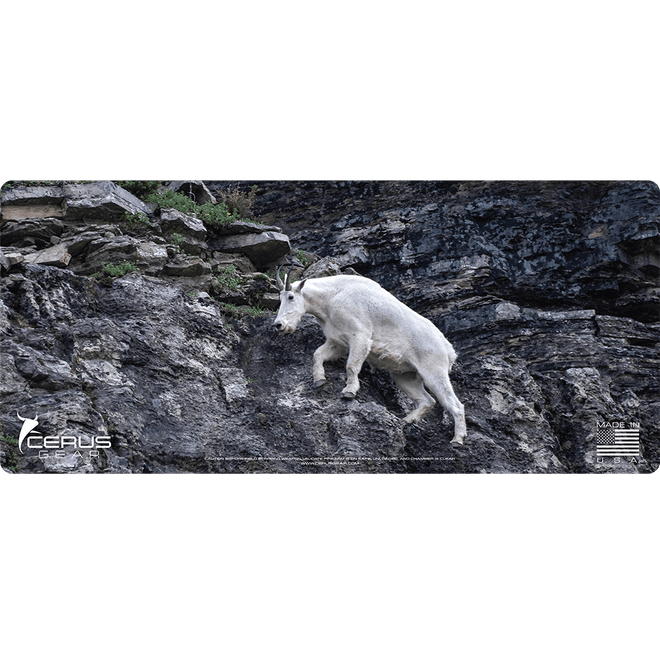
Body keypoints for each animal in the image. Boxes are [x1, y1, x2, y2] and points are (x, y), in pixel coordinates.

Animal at [273, 265, 466, 446]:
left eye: (291, 297)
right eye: (280, 298)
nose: (279, 325)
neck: (331, 297)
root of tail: (448, 350)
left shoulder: (360, 337)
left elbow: (351, 366)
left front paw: (349, 392)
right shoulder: (337, 342)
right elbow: (317, 355)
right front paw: (319, 379)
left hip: (434, 371)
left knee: (454, 404)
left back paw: (457, 439)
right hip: (405, 376)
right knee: (427, 400)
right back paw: (407, 421)